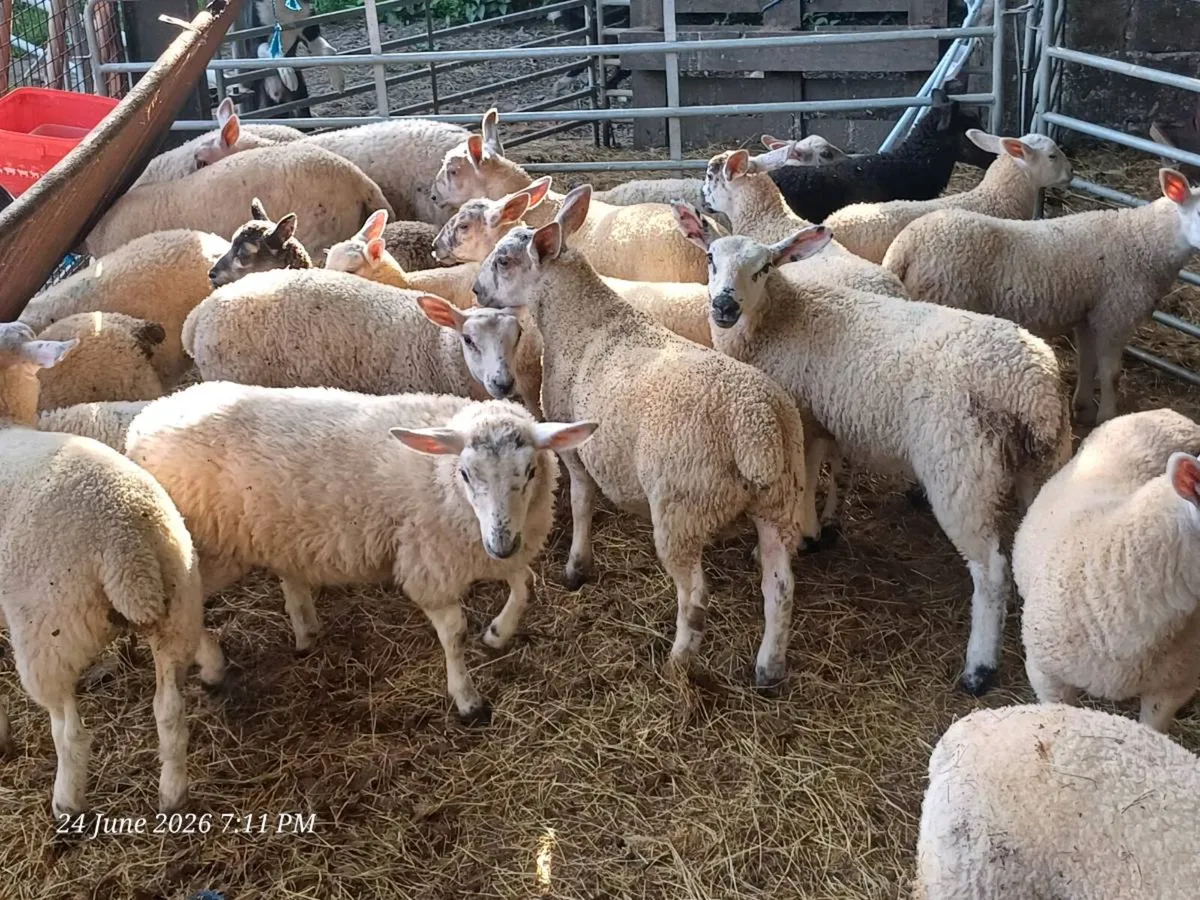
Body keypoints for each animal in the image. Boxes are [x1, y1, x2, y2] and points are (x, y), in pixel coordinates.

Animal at [125, 381, 596, 721]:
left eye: (529, 471)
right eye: (465, 473)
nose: (501, 543)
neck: (440, 479)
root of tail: (145, 421)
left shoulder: (485, 548)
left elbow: (525, 586)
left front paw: (498, 633)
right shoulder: (430, 564)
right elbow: (455, 633)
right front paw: (467, 699)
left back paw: (304, 632)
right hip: (206, 550)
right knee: (181, 611)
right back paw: (212, 666)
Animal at [472, 183, 818, 687]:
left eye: (502, 260)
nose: (475, 290)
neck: (580, 319)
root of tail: (754, 425)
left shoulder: (575, 446)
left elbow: (581, 502)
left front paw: (577, 566)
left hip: (682, 507)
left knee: (694, 596)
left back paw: (678, 662)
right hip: (780, 503)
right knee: (780, 587)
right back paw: (769, 669)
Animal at [672, 203, 1072, 695]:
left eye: (763, 267)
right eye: (710, 258)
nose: (724, 306)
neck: (782, 319)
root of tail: (1031, 386)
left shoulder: (800, 414)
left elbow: (805, 480)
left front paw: (798, 536)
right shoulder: (818, 418)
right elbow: (823, 471)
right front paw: (816, 530)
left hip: (962, 473)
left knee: (990, 571)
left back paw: (979, 668)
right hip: (1043, 465)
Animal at [883, 167, 1200, 425]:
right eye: (1199, 213)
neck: (1144, 240)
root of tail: (904, 247)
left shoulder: (1089, 313)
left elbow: (1087, 362)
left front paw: (1082, 407)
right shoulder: (1115, 315)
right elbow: (1111, 373)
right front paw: (1107, 417)